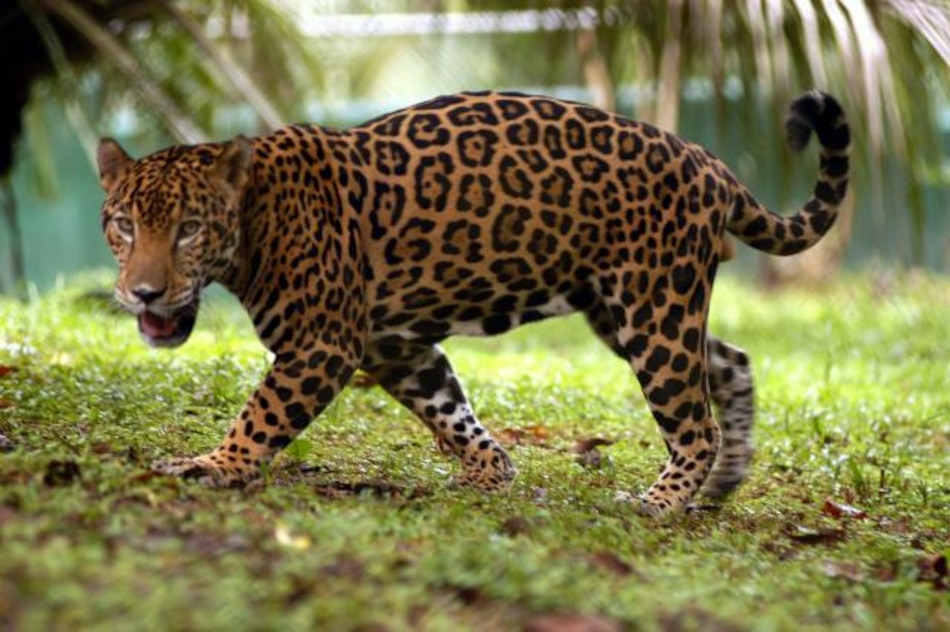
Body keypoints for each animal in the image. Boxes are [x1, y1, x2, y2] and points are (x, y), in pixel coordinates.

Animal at [96, 89, 849, 517]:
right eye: (125, 225)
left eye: (189, 229)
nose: (142, 292)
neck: (254, 222)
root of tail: (709, 162)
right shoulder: (394, 346)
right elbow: (449, 408)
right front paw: (492, 473)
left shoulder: (321, 344)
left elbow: (262, 413)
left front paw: (215, 466)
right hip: (630, 310)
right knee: (732, 363)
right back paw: (721, 487)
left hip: (654, 307)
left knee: (694, 422)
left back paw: (658, 503)